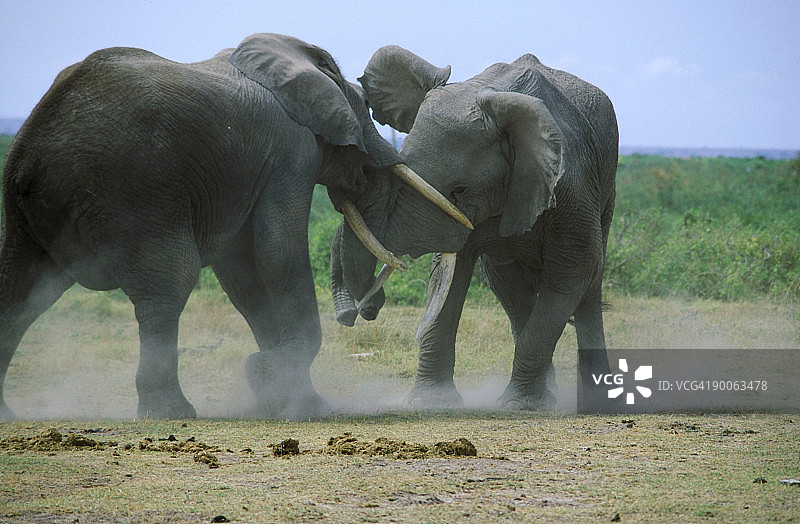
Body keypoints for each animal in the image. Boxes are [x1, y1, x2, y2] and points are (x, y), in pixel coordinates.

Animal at [0, 34, 467, 420]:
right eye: (364, 114)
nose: (360, 313)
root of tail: (33, 144)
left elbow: (243, 273)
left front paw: (286, 396)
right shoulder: (291, 151)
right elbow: (278, 252)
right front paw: (275, 382)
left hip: (28, 208)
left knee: (20, 292)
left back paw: (8, 414)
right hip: (135, 192)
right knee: (169, 285)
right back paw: (173, 413)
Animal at [330, 46, 619, 409]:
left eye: (460, 190)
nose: (362, 312)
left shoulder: (571, 185)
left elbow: (574, 270)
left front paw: (518, 407)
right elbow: (449, 273)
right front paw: (430, 403)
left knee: (589, 285)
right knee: (507, 285)